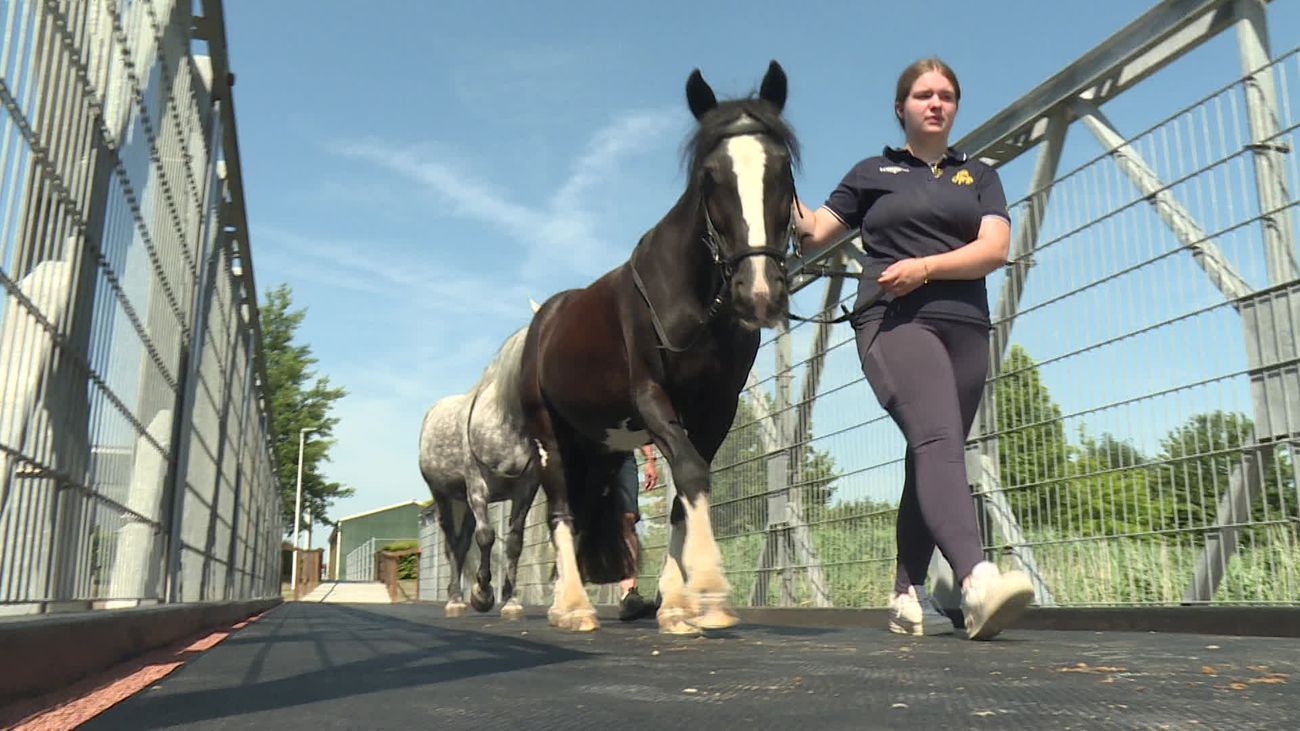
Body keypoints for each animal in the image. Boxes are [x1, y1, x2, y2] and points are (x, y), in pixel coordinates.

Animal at [418, 325, 541, 620]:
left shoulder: (526, 488)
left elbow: (514, 542)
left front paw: (511, 601)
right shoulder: (477, 486)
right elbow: (486, 537)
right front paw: (483, 593)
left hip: (463, 501)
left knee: (462, 543)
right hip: (443, 495)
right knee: (452, 543)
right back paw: (455, 599)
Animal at [519, 61, 797, 633]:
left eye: (783, 168)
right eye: (709, 176)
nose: (759, 294)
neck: (692, 298)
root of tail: (544, 320)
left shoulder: (717, 408)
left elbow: (684, 493)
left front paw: (676, 604)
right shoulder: (651, 397)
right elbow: (691, 472)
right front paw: (709, 590)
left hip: (596, 446)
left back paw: (562, 602)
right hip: (548, 437)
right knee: (562, 512)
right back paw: (574, 607)